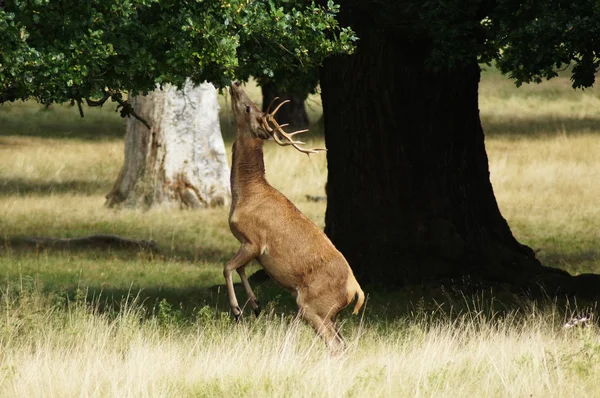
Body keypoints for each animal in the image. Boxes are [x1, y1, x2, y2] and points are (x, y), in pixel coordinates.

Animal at [225, 82, 366, 350]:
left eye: (248, 108)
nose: (236, 84)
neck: (245, 194)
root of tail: (357, 292)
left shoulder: (254, 240)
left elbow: (228, 267)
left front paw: (238, 311)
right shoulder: (248, 245)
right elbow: (239, 269)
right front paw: (255, 305)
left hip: (314, 306)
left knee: (335, 346)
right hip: (329, 314)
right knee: (342, 344)